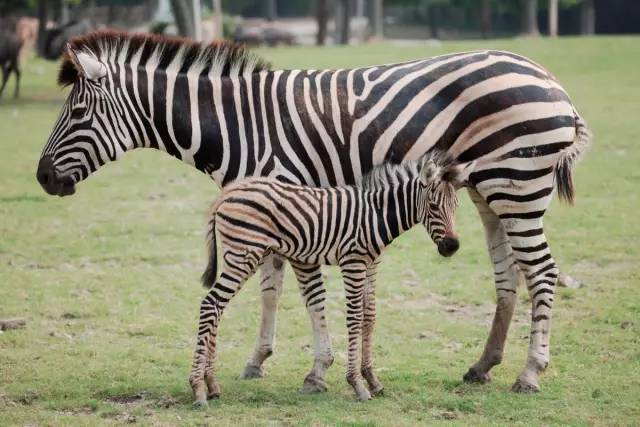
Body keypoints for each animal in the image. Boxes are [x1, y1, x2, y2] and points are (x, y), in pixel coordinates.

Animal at [190, 152, 470, 406]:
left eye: (456, 206)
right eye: (433, 206)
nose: (452, 247)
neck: (375, 215)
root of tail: (226, 195)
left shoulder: (369, 264)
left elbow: (369, 317)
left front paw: (372, 380)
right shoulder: (353, 262)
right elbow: (354, 318)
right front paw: (357, 384)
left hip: (239, 255)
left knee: (217, 308)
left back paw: (212, 385)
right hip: (243, 254)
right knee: (210, 305)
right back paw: (198, 389)